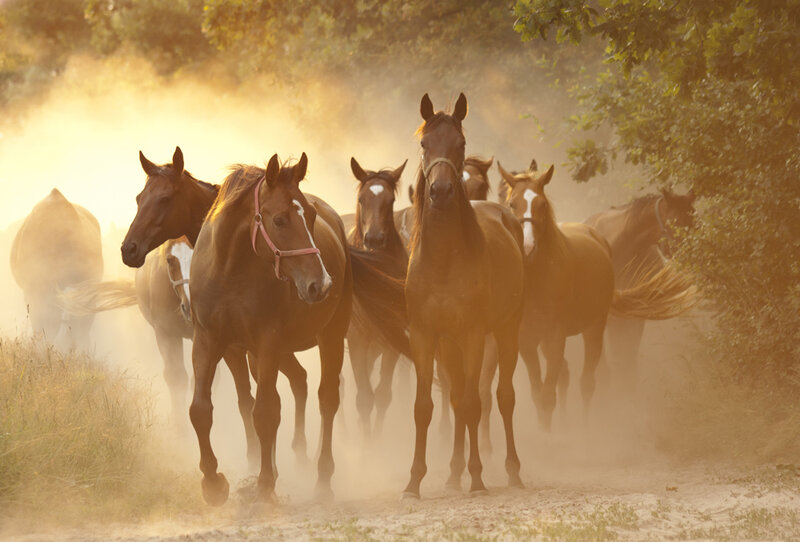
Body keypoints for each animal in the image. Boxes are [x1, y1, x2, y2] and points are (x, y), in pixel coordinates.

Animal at [188, 153, 408, 504]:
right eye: (279, 220)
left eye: (311, 215)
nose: (321, 284)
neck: (229, 272)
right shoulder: (209, 342)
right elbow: (200, 410)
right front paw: (212, 482)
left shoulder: (266, 345)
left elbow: (265, 412)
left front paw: (265, 483)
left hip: (332, 337)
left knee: (328, 400)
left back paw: (322, 477)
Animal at [403, 93, 525, 499]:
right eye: (425, 144)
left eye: (461, 144)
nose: (440, 192)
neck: (443, 261)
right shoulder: (426, 337)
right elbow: (425, 407)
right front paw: (414, 480)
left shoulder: (473, 335)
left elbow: (474, 403)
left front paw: (477, 477)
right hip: (450, 345)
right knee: (456, 398)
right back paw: (454, 473)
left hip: (506, 332)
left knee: (501, 397)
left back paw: (511, 471)